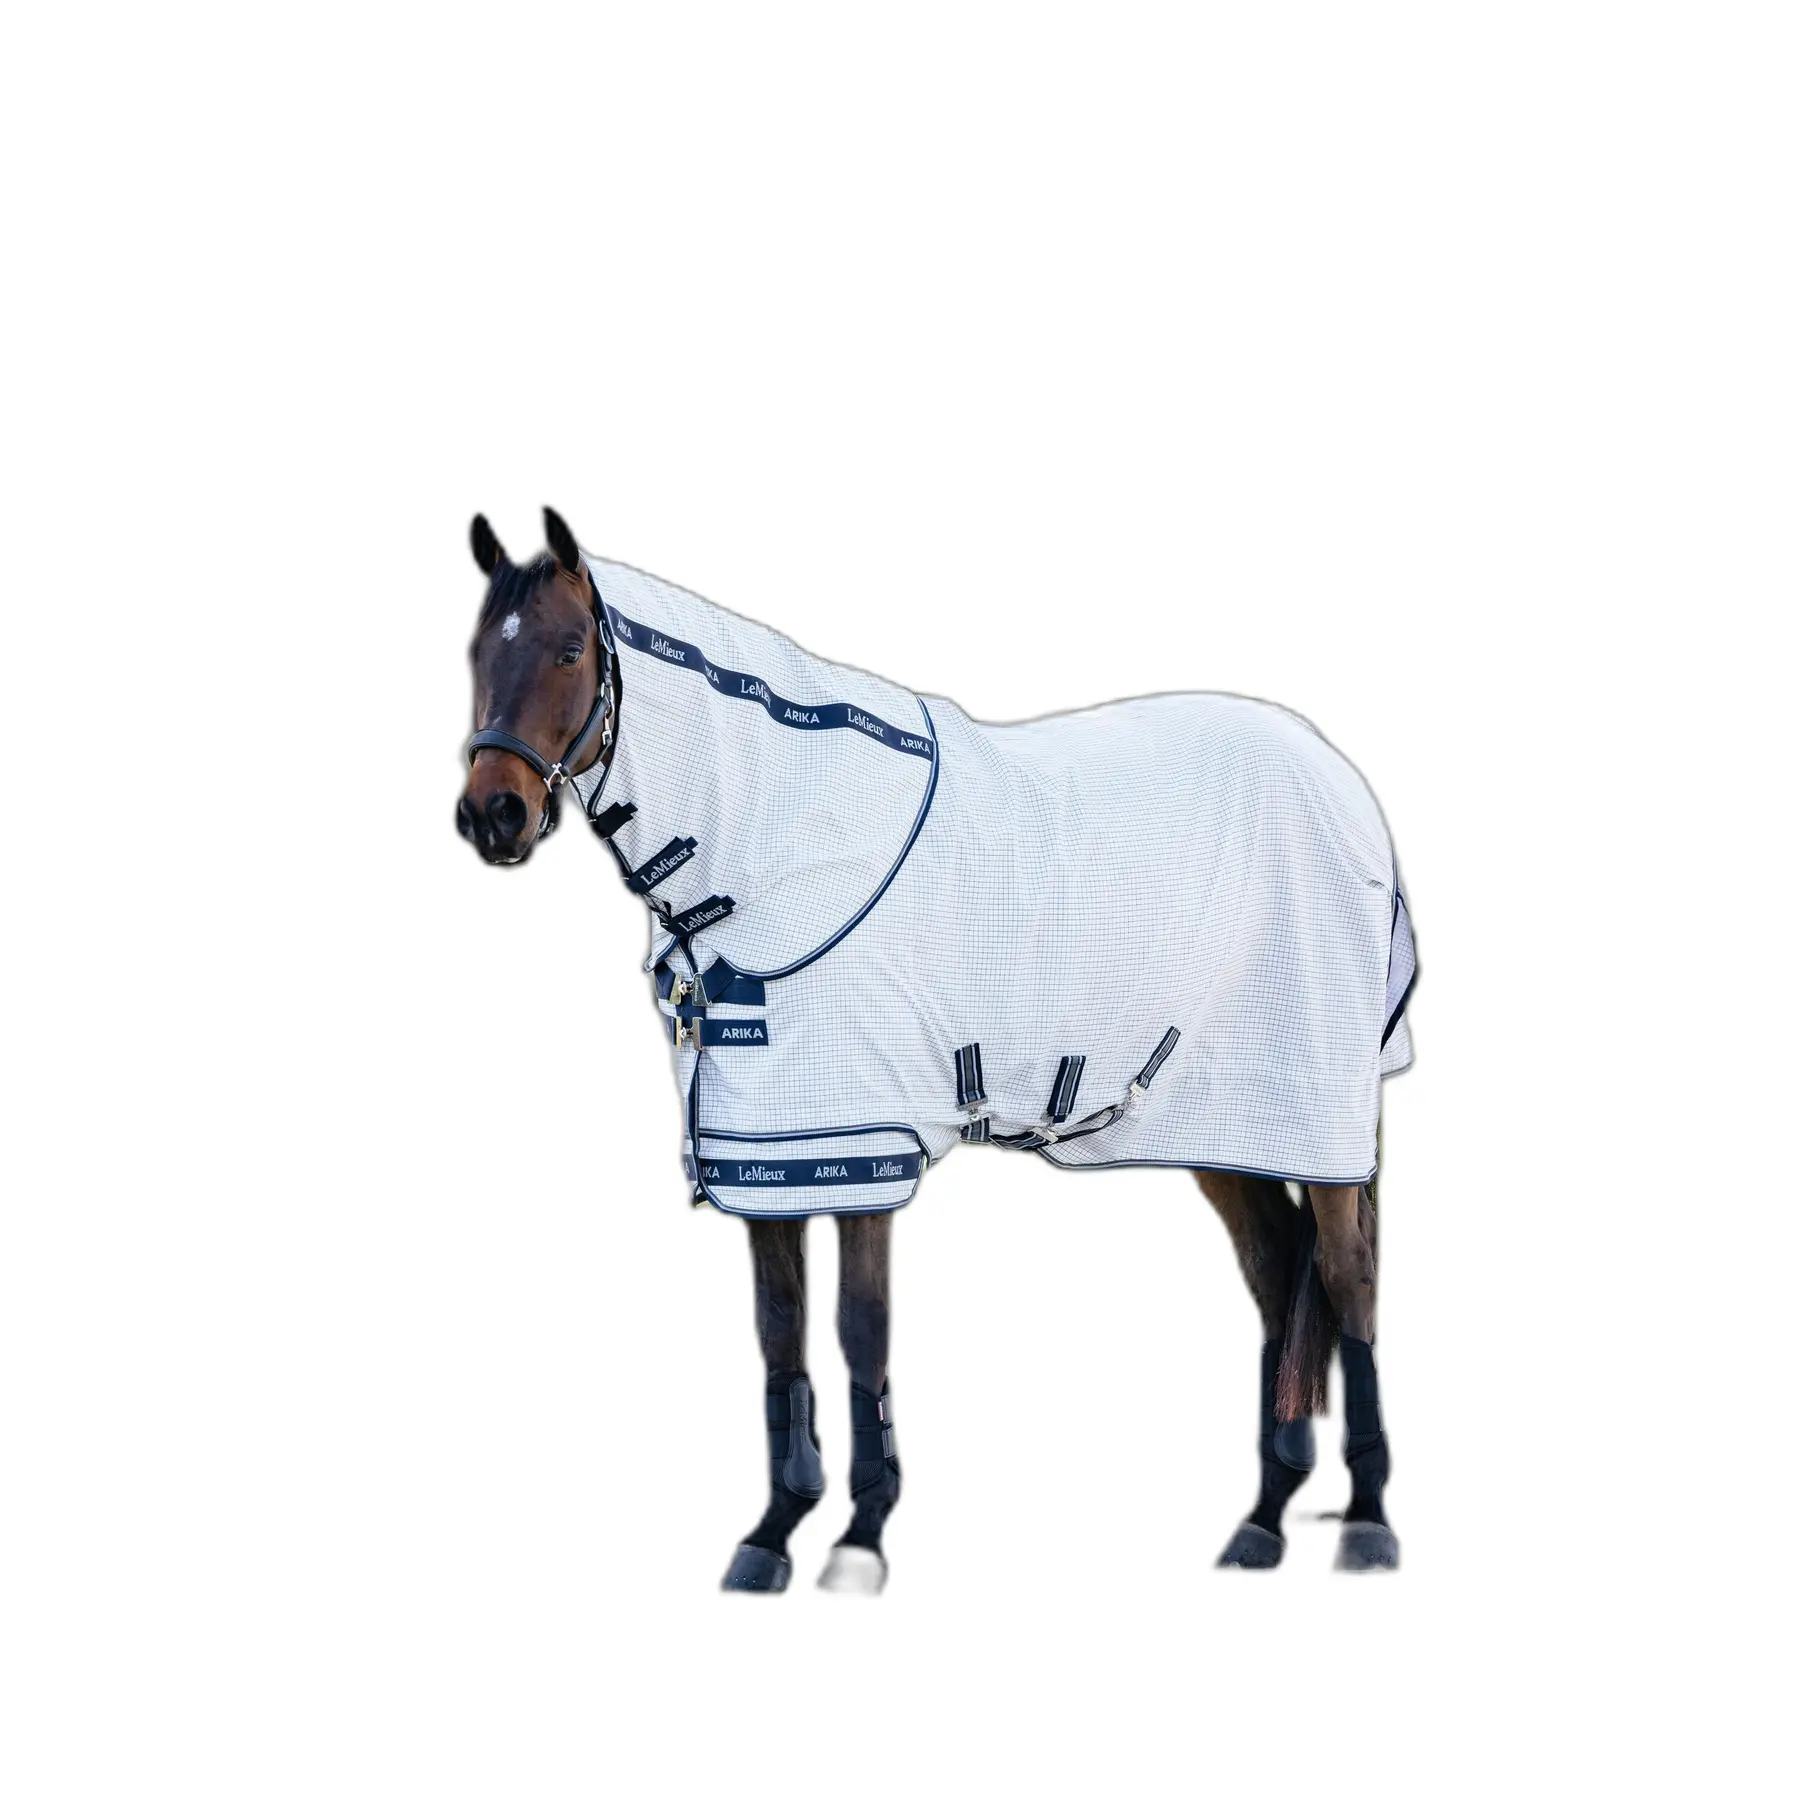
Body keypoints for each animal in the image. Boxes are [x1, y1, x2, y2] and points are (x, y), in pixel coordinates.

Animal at [457, 506, 1410, 1589]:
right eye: (475, 654)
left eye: (571, 649)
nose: (492, 814)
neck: (784, 844)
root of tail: (1342, 785)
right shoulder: (766, 1148)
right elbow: (779, 1330)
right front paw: (773, 1531)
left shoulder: (866, 1142)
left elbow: (859, 1328)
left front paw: (860, 1536)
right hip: (1225, 1121)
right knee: (1280, 1279)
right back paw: (1263, 1520)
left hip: (1320, 1111)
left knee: (1349, 1279)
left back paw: (1367, 1520)